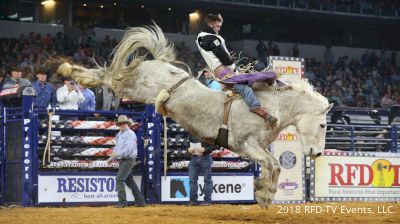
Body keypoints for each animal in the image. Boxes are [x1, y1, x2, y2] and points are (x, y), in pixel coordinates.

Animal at [55, 24, 332, 208]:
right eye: (322, 125)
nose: (318, 153)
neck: (271, 105)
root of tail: (158, 63)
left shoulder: (256, 148)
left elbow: (274, 165)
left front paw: (265, 193)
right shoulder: (246, 144)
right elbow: (273, 164)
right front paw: (263, 195)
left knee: (108, 74)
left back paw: (72, 70)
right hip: (132, 87)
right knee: (109, 76)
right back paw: (69, 70)